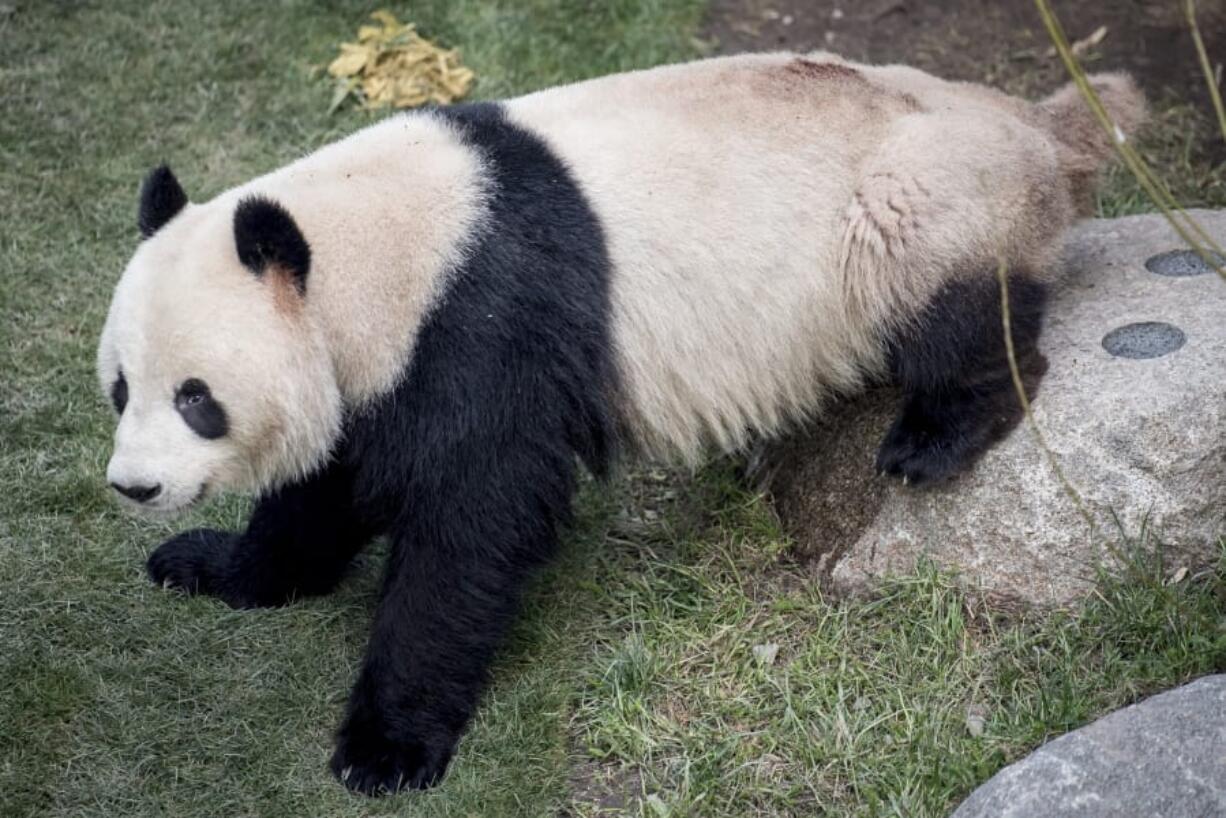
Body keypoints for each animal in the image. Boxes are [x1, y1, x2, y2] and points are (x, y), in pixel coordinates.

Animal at [98, 51, 1147, 794]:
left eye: (197, 397)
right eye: (120, 388)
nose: (135, 487)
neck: (383, 243)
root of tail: (1032, 123)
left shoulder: (483, 324)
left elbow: (474, 524)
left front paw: (385, 747)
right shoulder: (387, 363)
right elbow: (331, 486)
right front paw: (214, 565)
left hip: (923, 199)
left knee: (955, 306)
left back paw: (937, 437)